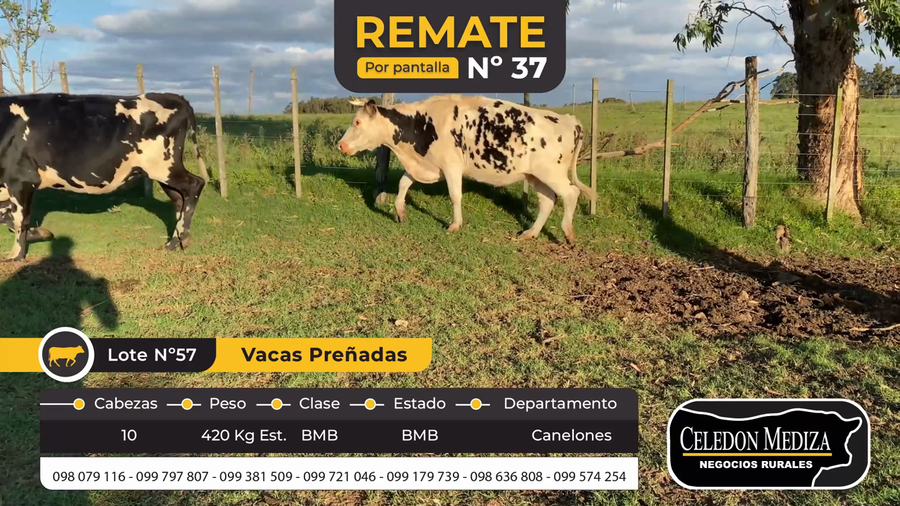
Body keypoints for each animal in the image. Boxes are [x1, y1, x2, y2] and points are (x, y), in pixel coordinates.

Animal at [0, 92, 208, 262]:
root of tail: (173, 96)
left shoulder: (21, 180)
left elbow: (20, 220)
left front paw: (16, 256)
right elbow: (7, 219)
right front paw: (40, 234)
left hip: (163, 166)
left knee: (195, 185)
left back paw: (180, 239)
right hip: (162, 171)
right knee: (179, 198)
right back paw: (177, 241)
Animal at [337, 95, 596, 244]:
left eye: (357, 122)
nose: (341, 145)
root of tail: (570, 119)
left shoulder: (451, 165)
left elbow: (455, 195)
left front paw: (455, 224)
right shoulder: (426, 164)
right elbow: (403, 182)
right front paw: (400, 212)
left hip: (551, 172)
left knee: (570, 193)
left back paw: (568, 234)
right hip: (536, 176)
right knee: (548, 201)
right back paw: (530, 233)